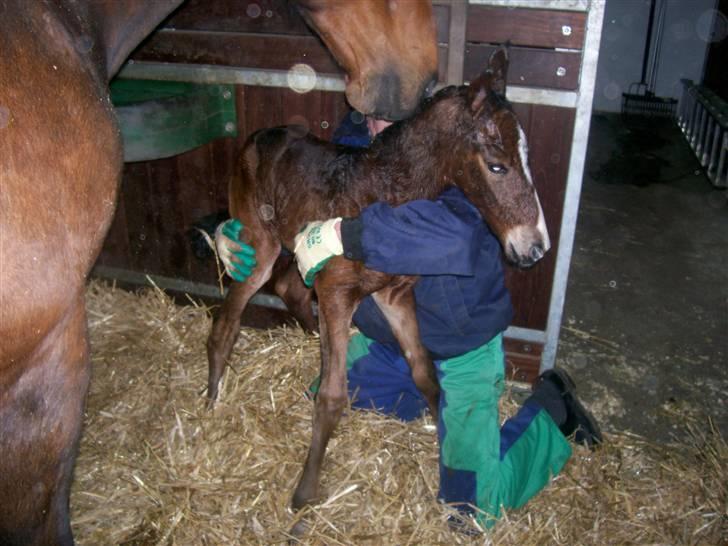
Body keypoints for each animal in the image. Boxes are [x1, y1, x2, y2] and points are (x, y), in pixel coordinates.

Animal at [0, 1, 436, 540]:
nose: (421, 82)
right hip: (259, 249)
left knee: (285, 288)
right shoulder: (47, 345)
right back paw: (212, 396)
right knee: (230, 316)